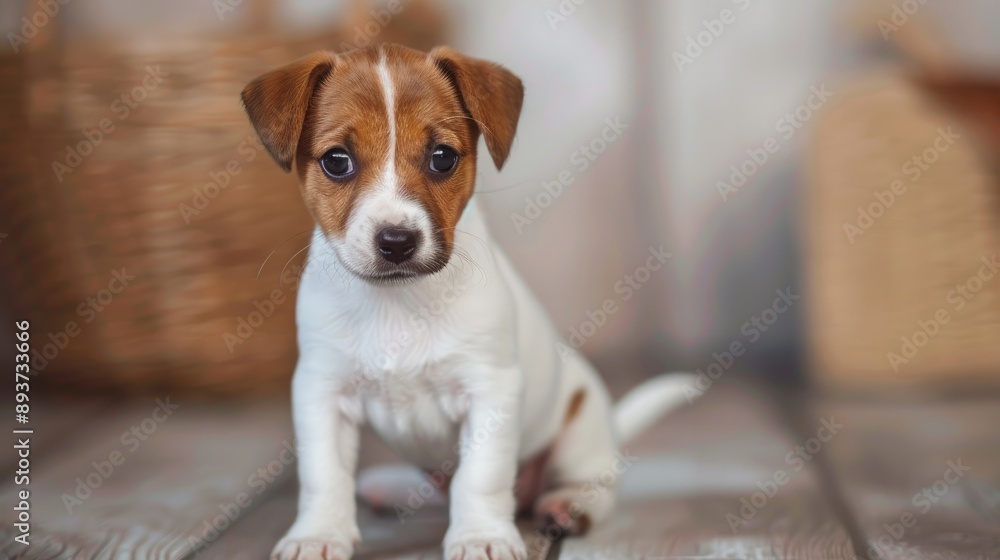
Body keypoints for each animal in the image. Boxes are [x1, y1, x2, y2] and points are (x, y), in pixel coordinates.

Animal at [242, 43, 696, 560]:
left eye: (442, 157)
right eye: (337, 161)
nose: (396, 241)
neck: (396, 300)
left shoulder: (489, 390)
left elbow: (480, 476)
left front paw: (482, 536)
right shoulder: (322, 391)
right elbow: (323, 474)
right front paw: (318, 533)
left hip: (579, 433)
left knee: (594, 486)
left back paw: (567, 503)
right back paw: (392, 487)